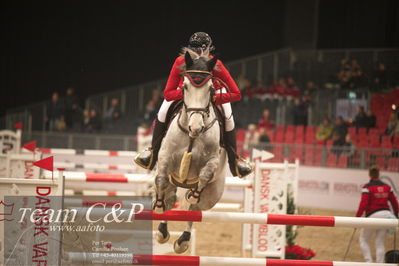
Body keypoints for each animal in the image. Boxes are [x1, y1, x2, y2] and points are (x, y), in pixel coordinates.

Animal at [153, 49, 228, 254]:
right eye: (185, 87)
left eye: (210, 89)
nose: (195, 127)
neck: (192, 137)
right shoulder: (165, 158)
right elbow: (161, 181)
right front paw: (159, 207)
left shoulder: (212, 161)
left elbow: (204, 176)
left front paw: (193, 194)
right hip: (174, 182)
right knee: (171, 198)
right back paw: (162, 230)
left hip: (212, 195)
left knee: (194, 210)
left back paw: (183, 241)